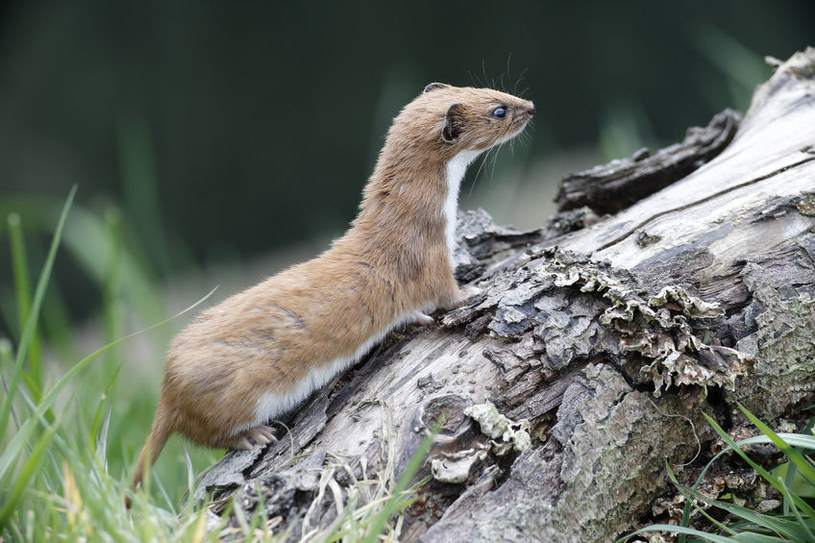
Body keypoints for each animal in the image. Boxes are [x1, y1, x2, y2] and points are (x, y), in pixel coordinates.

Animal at [131, 81, 540, 492]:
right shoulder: (429, 261)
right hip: (232, 396)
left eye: (486, 88)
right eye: (499, 109)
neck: (436, 222)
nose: (531, 106)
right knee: (203, 434)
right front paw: (473, 292)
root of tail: (168, 382)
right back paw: (253, 435)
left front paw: (420, 318)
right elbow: (447, 294)